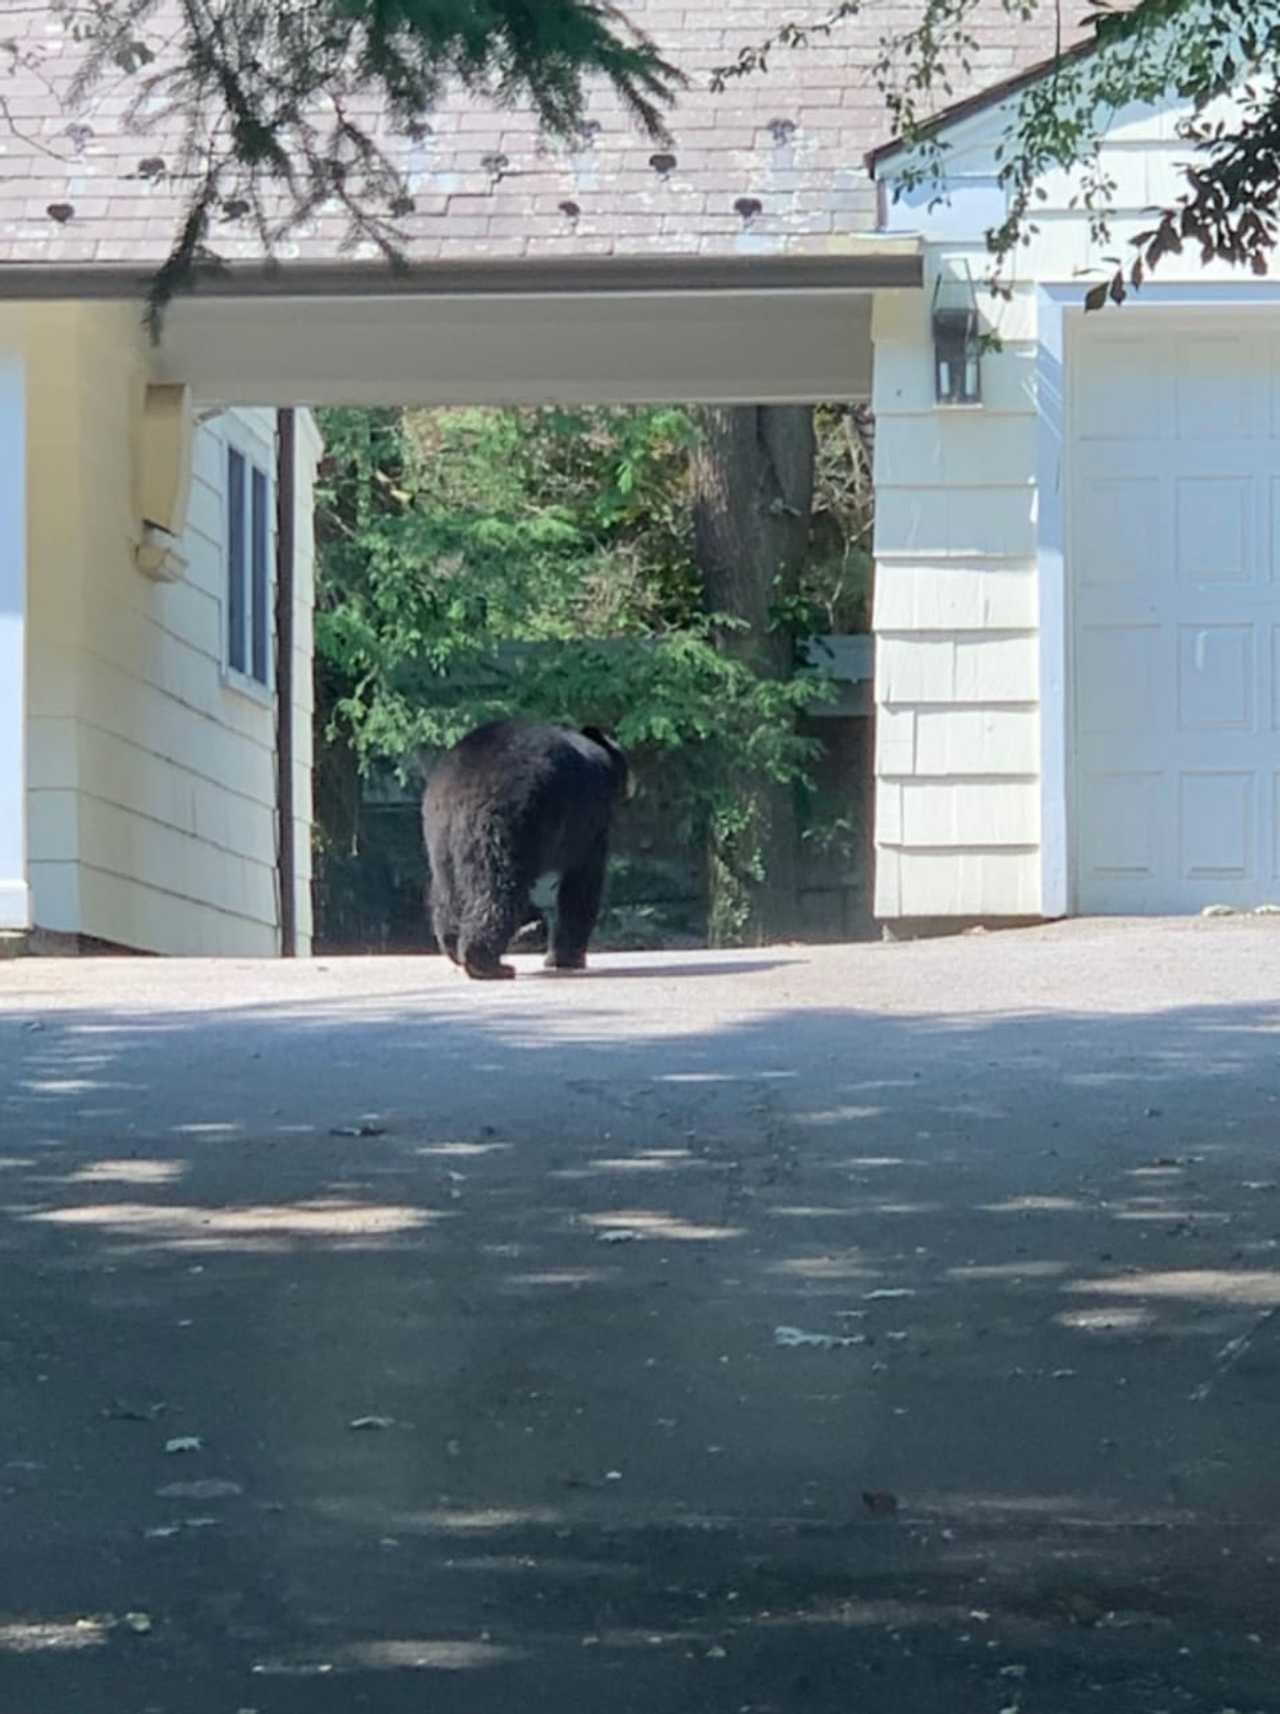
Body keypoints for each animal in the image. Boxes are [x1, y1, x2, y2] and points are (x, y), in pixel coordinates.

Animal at [422, 719, 630, 981]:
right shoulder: (590, 821)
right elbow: (582, 883)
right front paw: (567, 957)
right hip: (508, 822)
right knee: (498, 888)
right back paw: (486, 962)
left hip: (440, 834)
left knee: (447, 889)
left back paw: (452, 945)